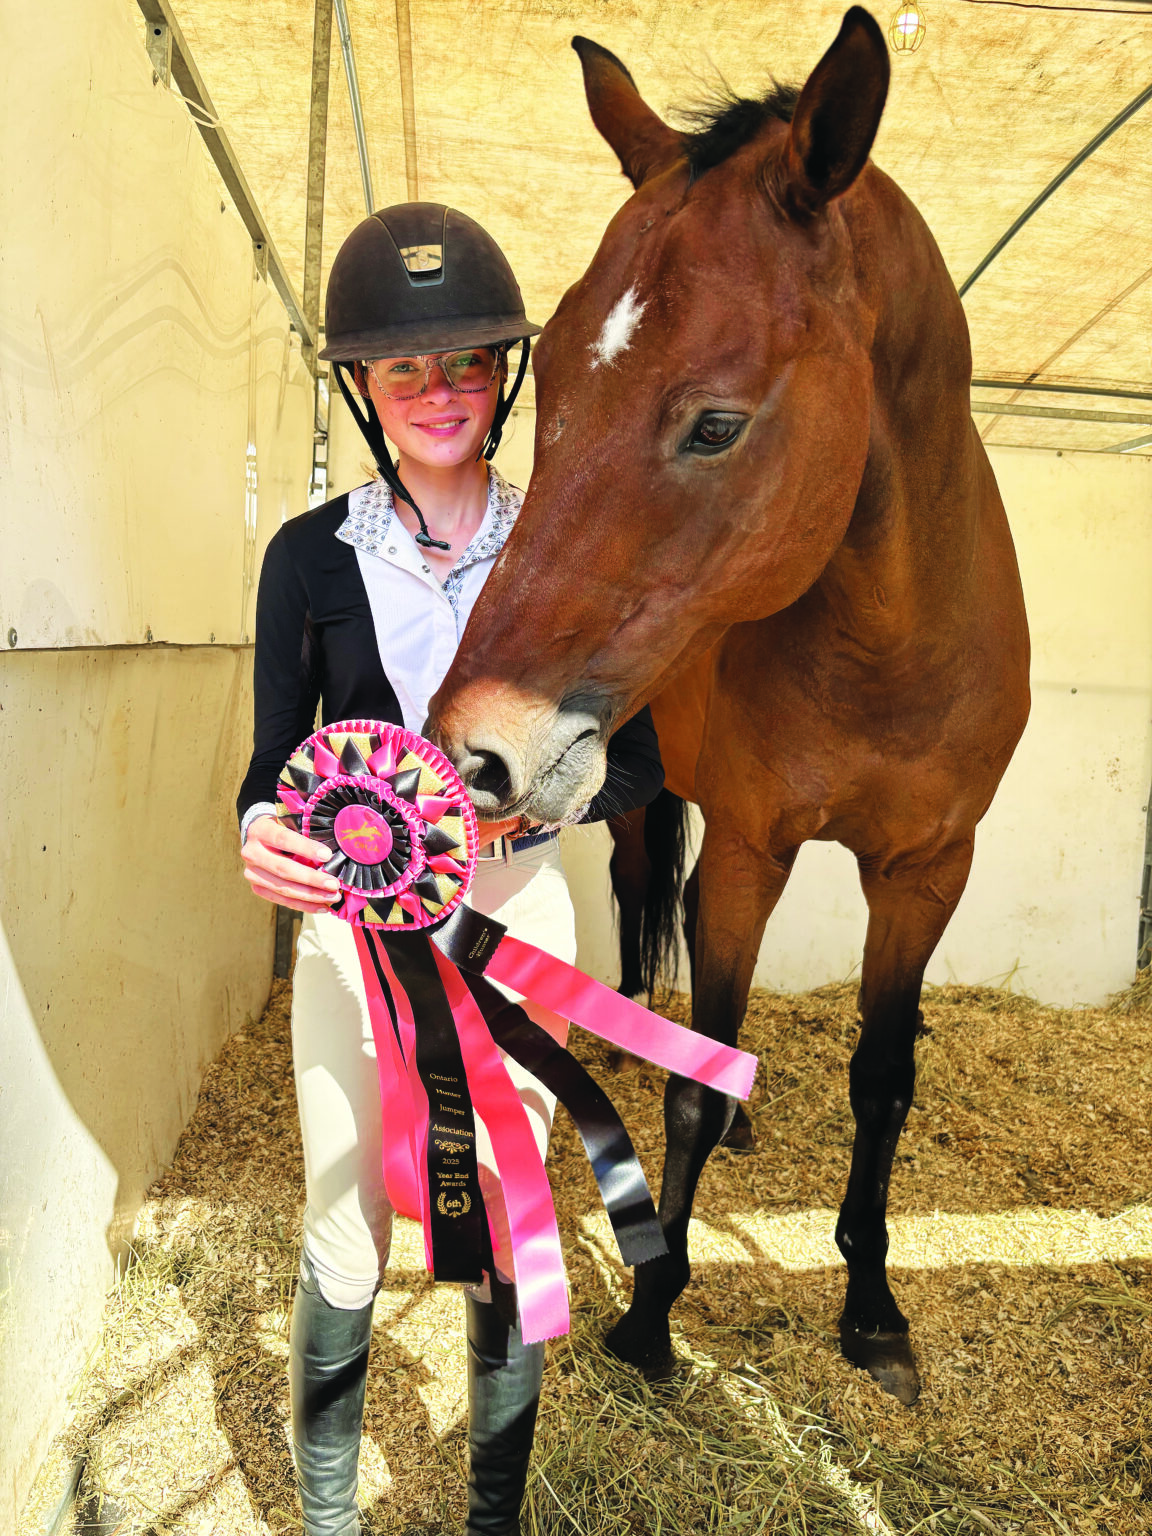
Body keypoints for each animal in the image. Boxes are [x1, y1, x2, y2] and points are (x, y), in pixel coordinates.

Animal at [428, 7, 1030, 1405]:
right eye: (549, 386)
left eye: (715, 425)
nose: (475, 747)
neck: (889, 646)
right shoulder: (754, 848)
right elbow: (694, 1077)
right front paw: (654, 1314)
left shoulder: (930, 869)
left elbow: (884, 1078)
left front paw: (872, 1310)